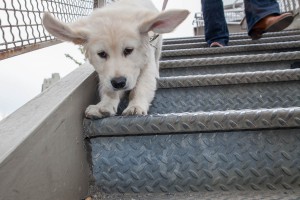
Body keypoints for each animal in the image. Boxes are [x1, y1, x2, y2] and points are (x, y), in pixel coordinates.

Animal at [43, 0, 189, 118]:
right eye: (102, 54)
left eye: (128, 50)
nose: (119, 83)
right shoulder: (104, 74)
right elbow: (108, 90)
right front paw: (104, 105)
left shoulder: (147, 63)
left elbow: (142, 86)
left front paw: (136, 105)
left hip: (158, 45)